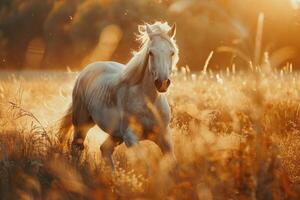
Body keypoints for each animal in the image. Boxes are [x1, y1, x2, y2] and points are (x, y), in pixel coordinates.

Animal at [59, 21, 179, 169]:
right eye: (151, 53)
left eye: (172, 52)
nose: (162, 83)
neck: (148, 102)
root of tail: (85, 71)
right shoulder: (130, 138)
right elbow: (145, 165)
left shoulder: (164, 137)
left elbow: (173, 164)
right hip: (82, 124)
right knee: (77, 147)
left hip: (115, 135)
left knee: (104, 149)